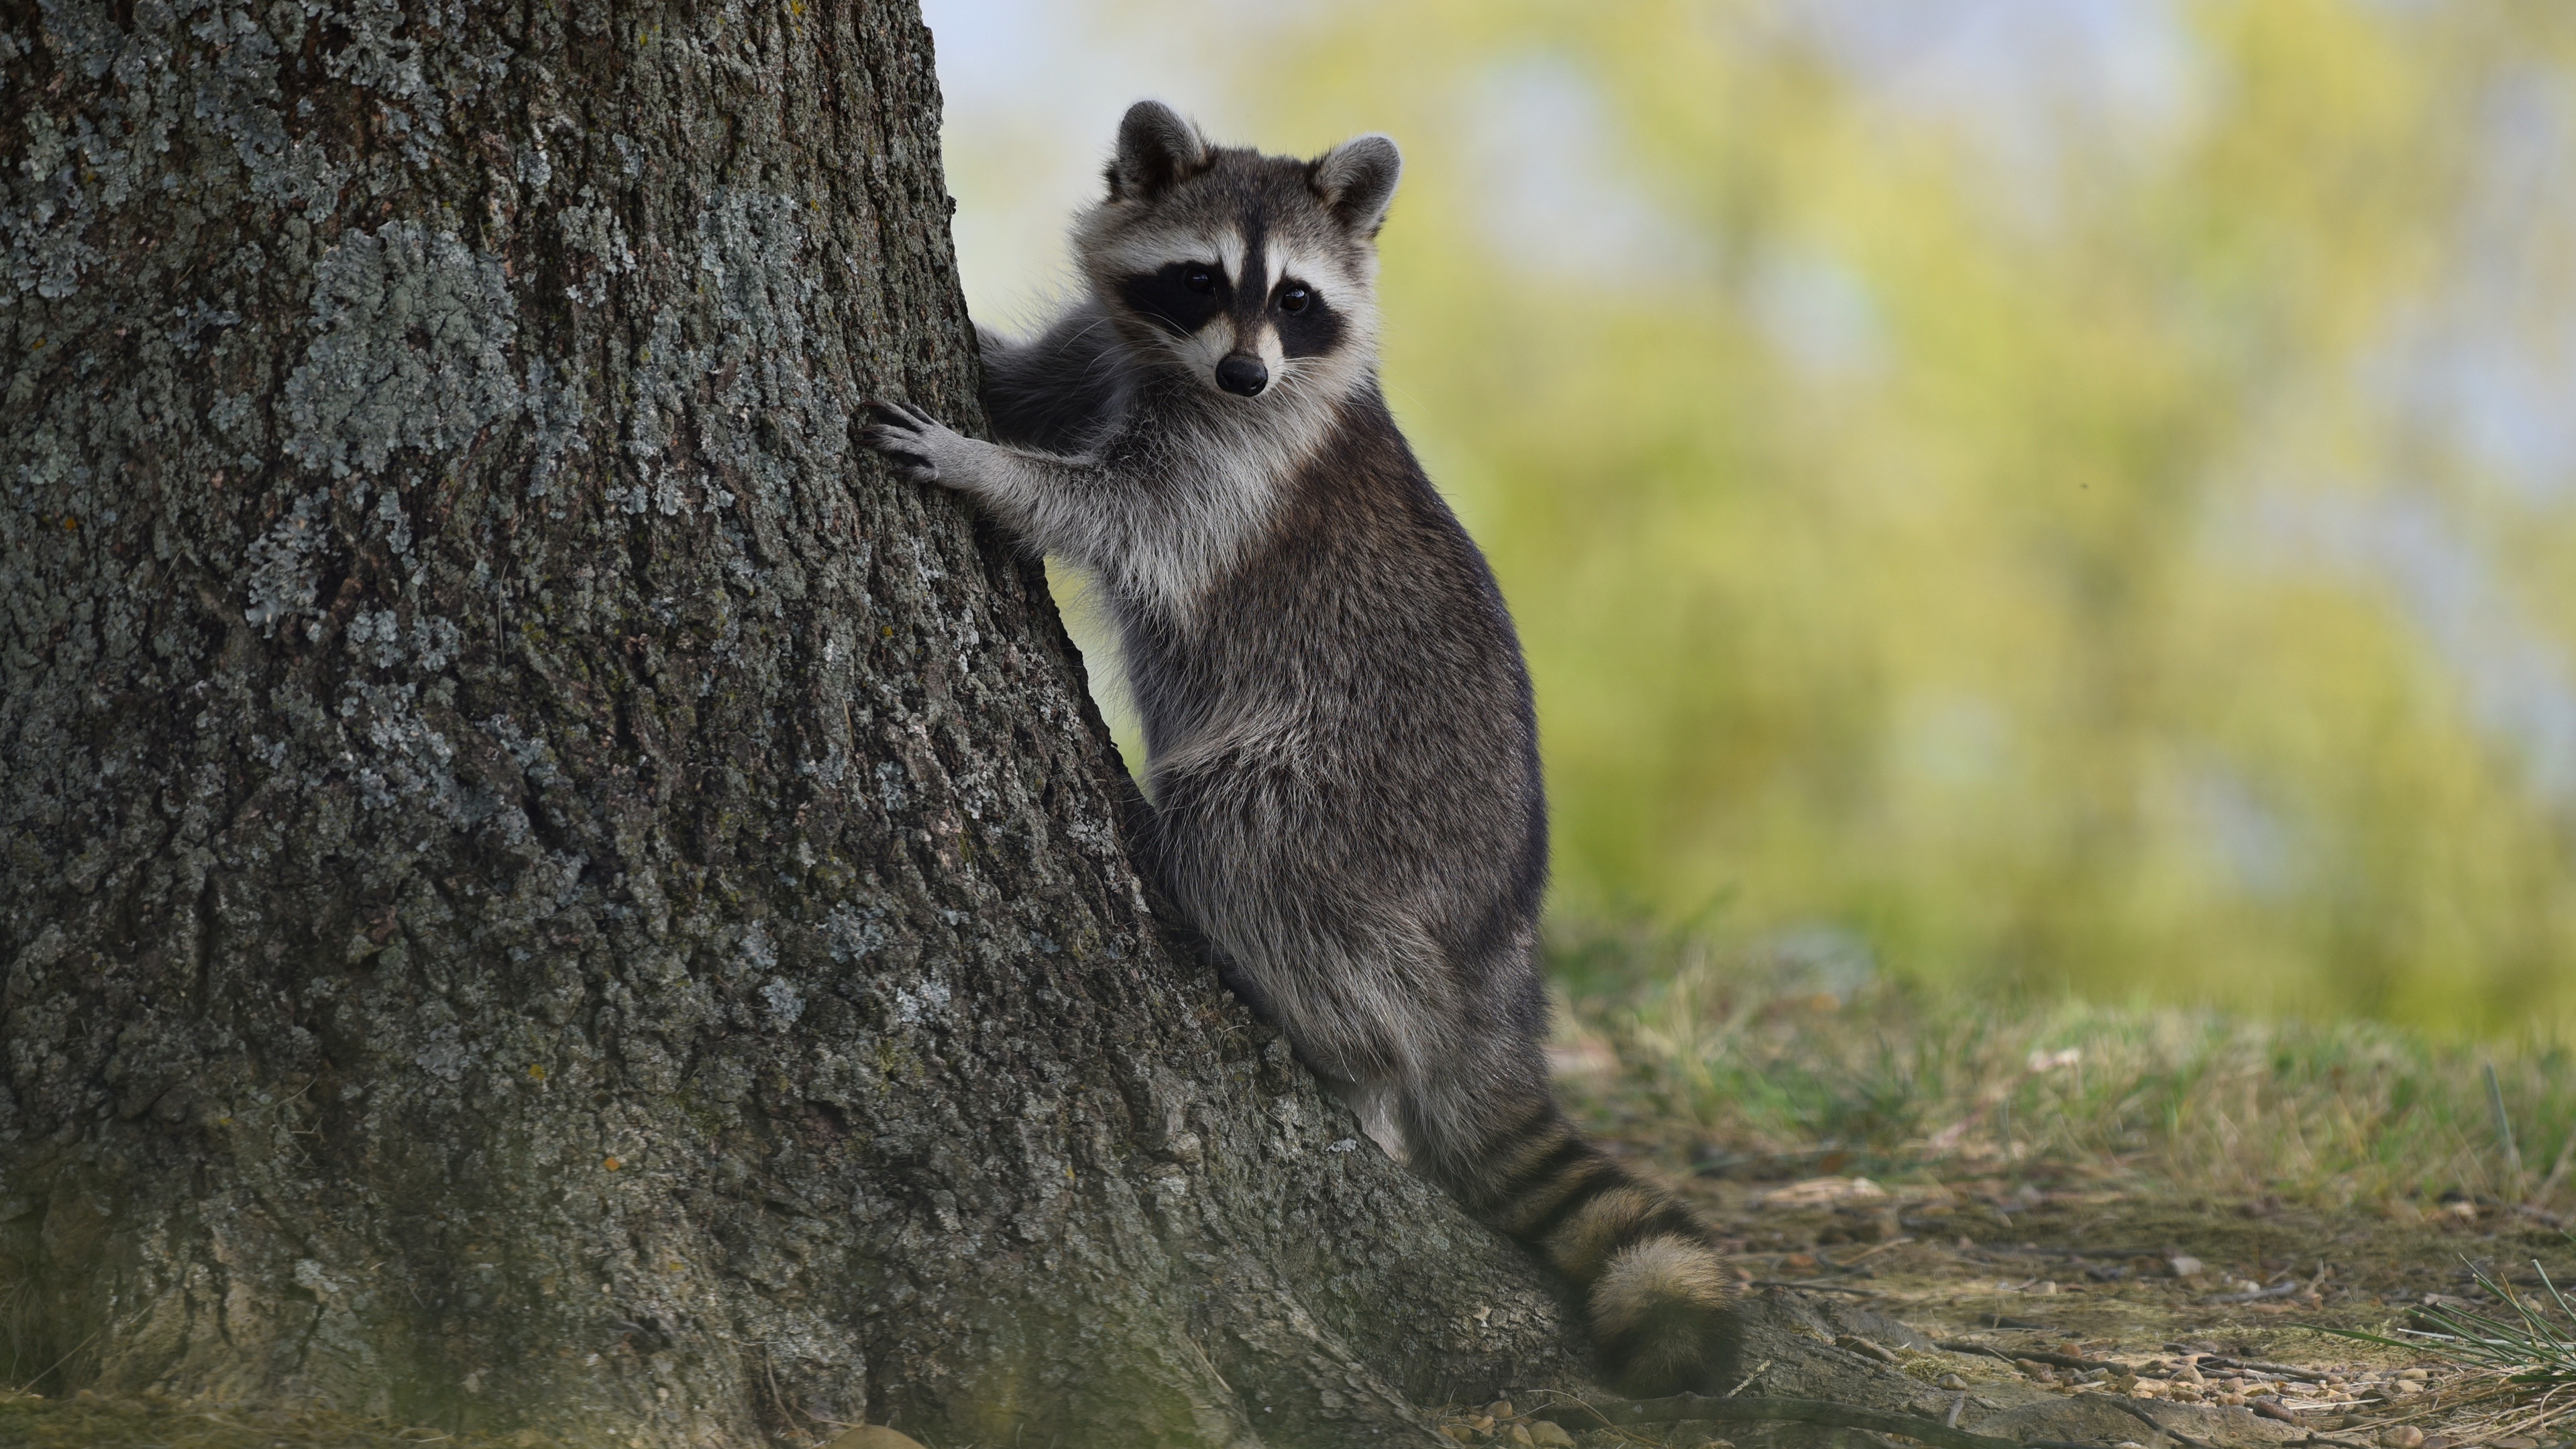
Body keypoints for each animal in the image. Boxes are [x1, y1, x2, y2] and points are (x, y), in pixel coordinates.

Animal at [855, 99, 1741, 1392]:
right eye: (1201, 281)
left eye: (1297, 299)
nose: (1245, 370)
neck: (1182, 369)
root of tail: (1499, 951)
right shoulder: (1107, 350)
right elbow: (1022, 381)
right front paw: (983, 375)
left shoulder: (1240, 470)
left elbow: (1120, 517)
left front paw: (985, 467)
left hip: (1354, 802)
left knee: (1246, 842)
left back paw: (1356, 1050)